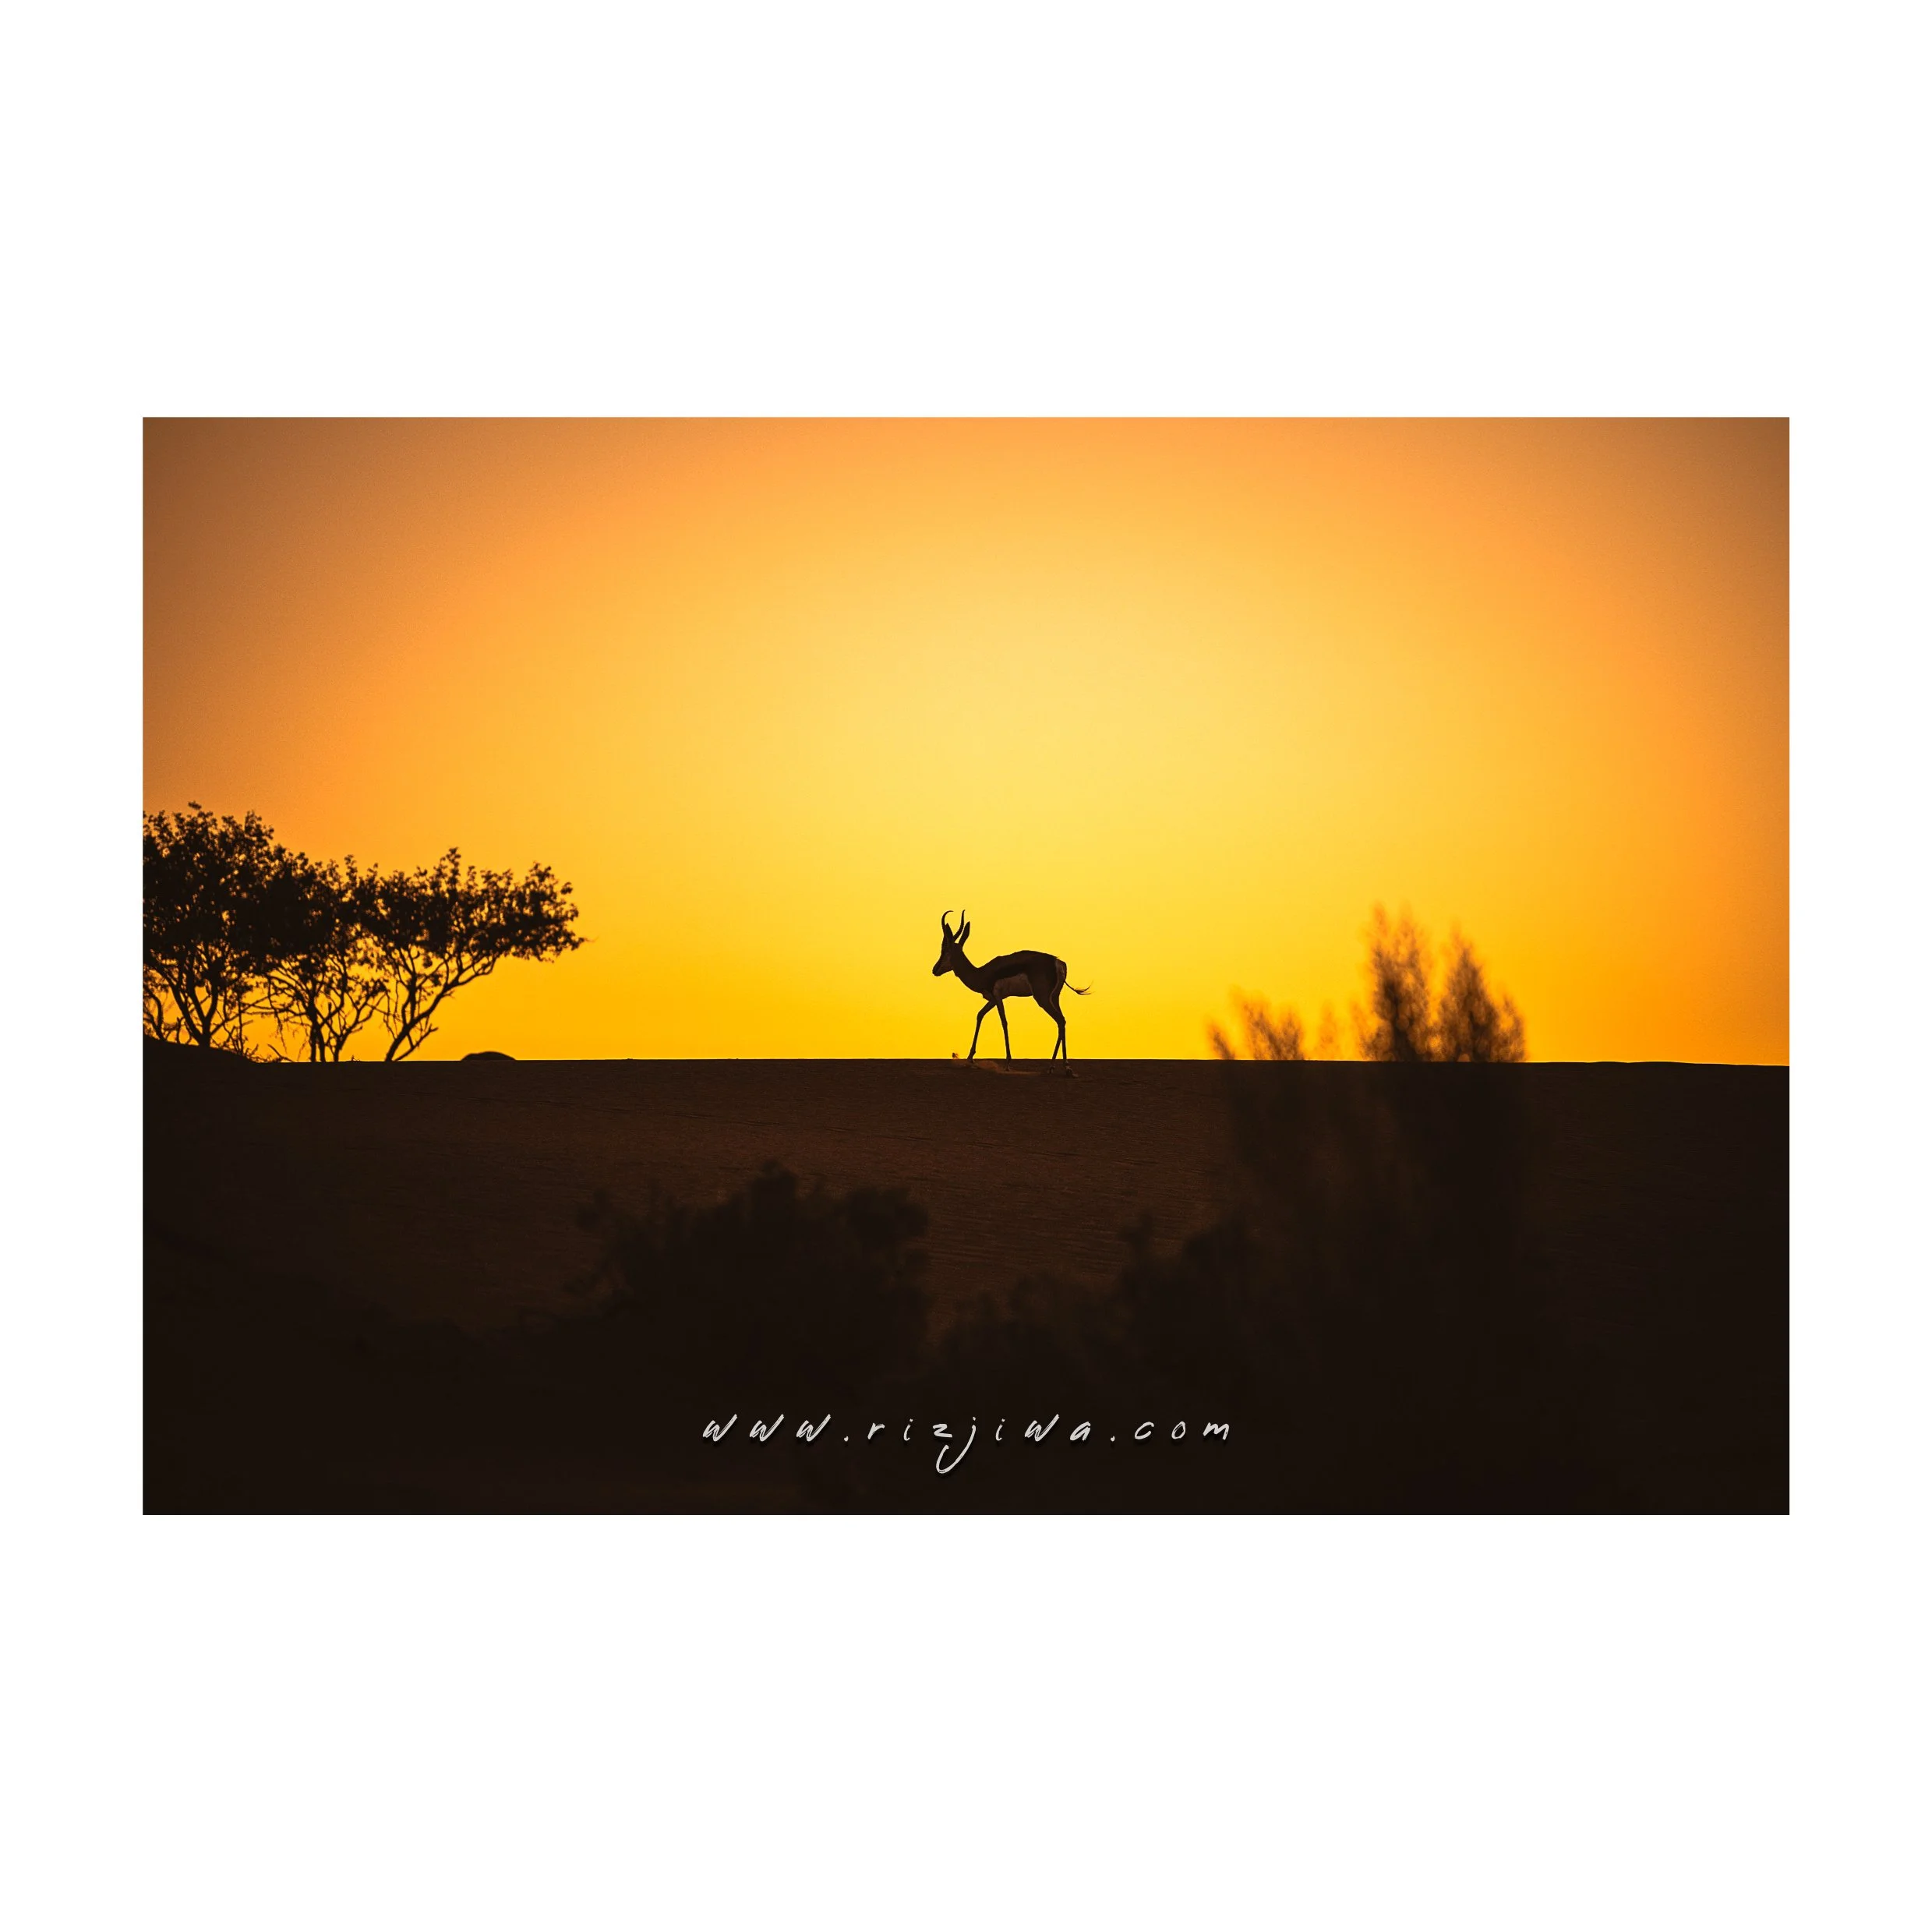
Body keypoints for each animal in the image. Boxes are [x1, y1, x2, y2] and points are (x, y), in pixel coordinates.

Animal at [931, 910, 1091, 1063]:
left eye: (944, 950)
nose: (935, 970)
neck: (981, 973)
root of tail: (1057, 962)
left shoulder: (997, 997)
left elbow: (1004, 1022)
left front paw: (1008, 1061)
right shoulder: (993, 999)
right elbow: (980, 1015)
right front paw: (970, 1057)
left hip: (1042, 998)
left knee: (1060, 1020)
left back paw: (1055, 1066)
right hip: (1055, 997)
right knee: (1062, 1021)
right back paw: (1063, 1067)